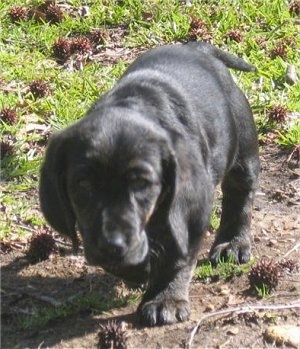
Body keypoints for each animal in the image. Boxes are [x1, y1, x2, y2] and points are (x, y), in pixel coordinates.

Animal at [40, 41, 260, 326]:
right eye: (83, 184)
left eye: (141, 184)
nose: (110, 244)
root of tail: (197, 48)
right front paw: (139, 269)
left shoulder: (187, 210)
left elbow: (175, 254)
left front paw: (165, 299)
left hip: (243, 147)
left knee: (239, 195)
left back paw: (233, 243)